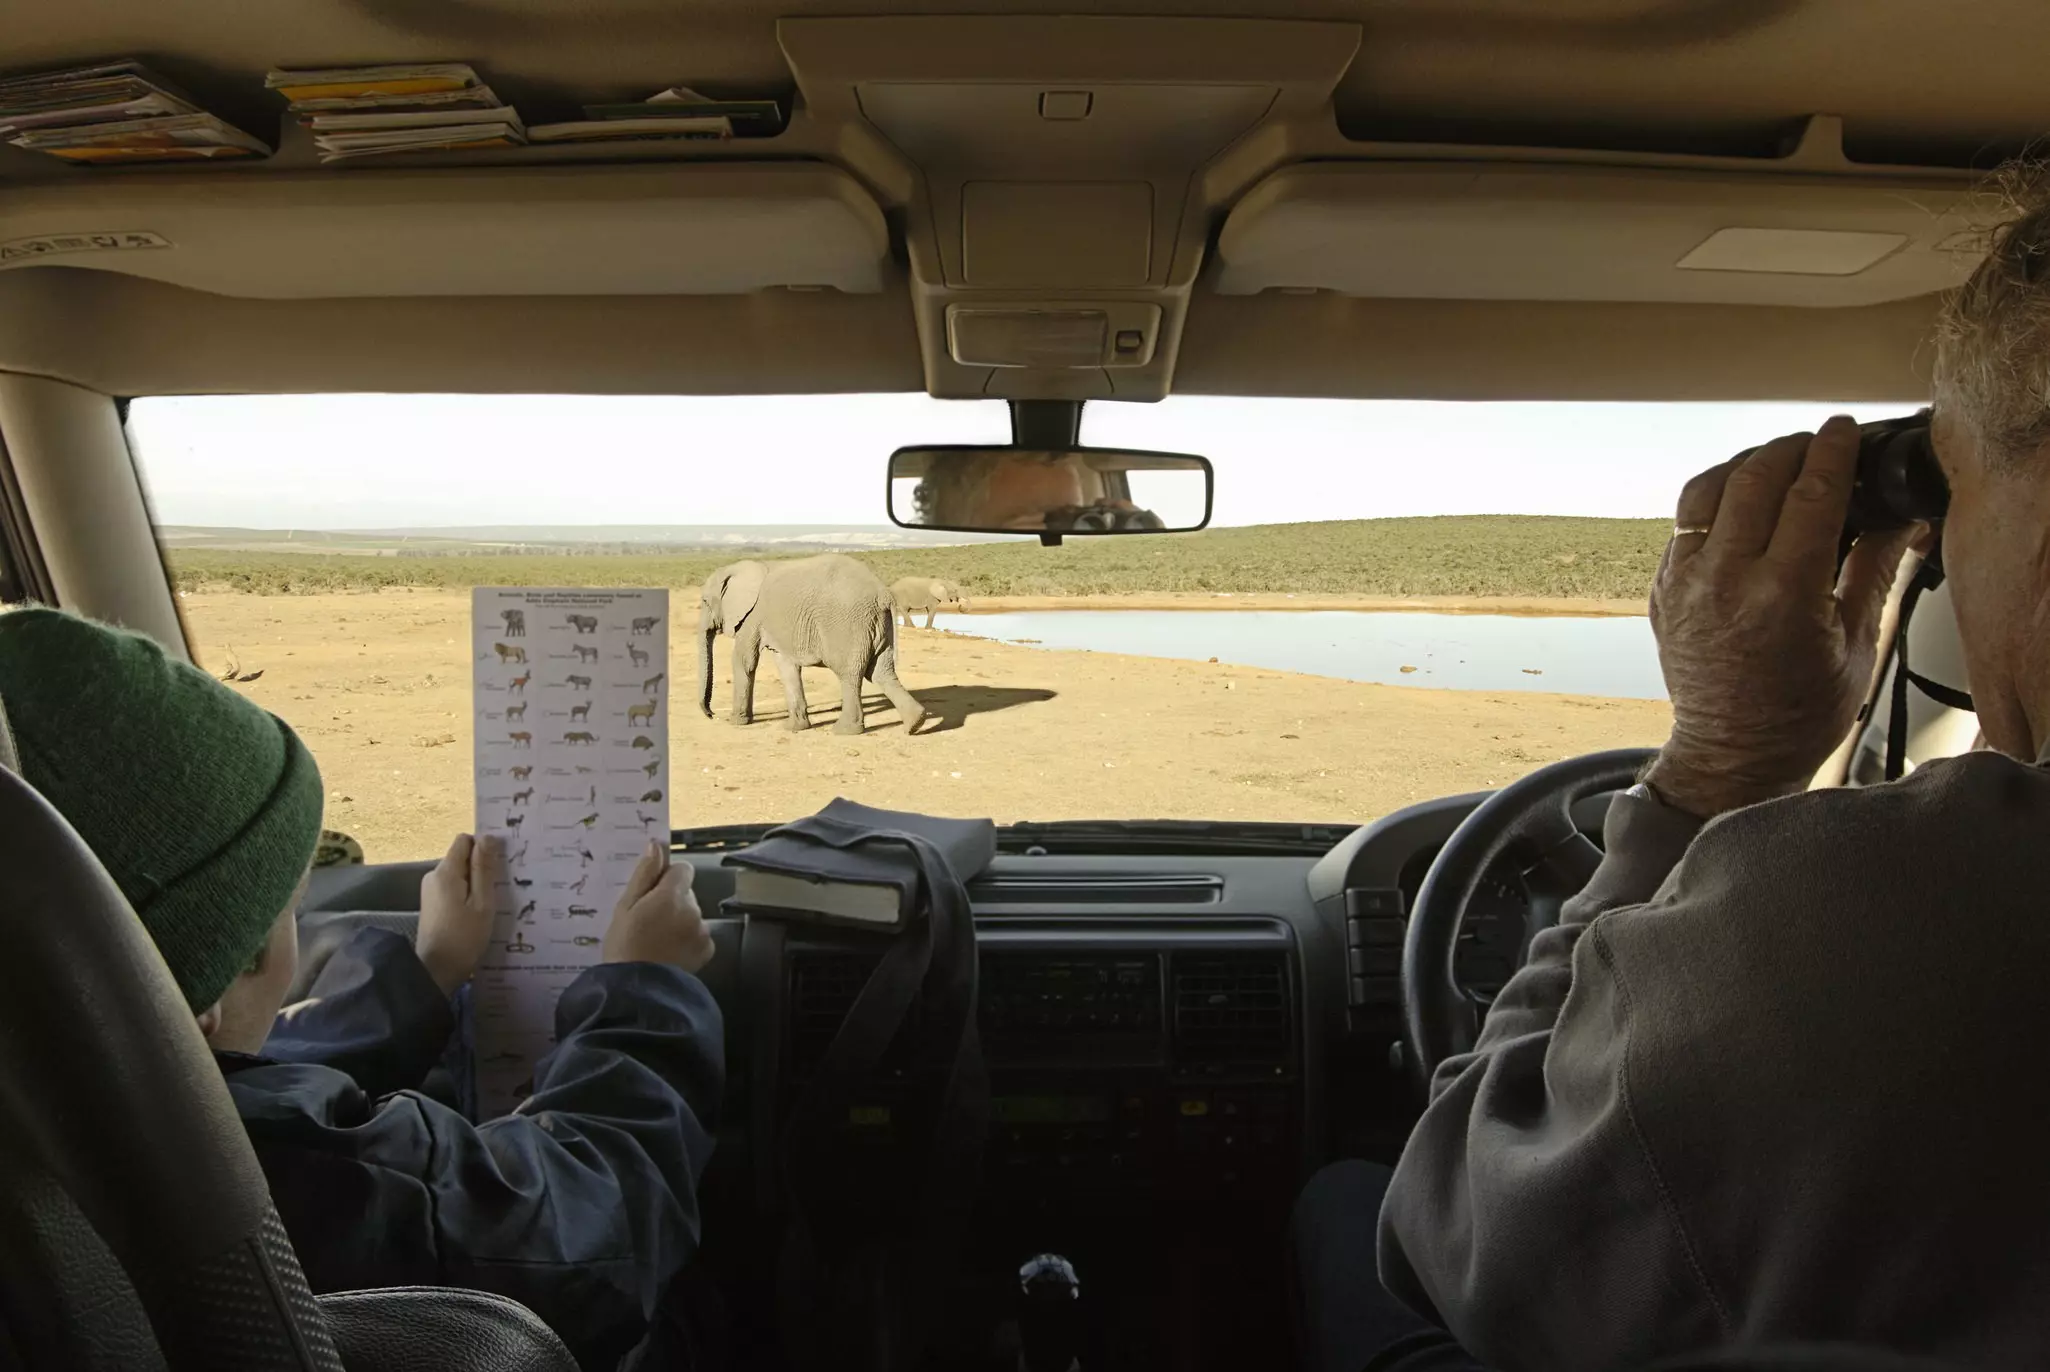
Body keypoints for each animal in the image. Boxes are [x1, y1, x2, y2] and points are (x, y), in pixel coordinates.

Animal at [697, 554, 926, 735]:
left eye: (705, 602)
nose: (711, 714)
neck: (738, 568)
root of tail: (883, 593)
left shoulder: (751, 617)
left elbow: (744, 661)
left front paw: (736, 722)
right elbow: (786, 666)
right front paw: (794, 728)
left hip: (848, 624)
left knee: (849, 674)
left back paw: (844, 730)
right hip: (878, 624)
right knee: (881, 672)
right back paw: (916, 724)